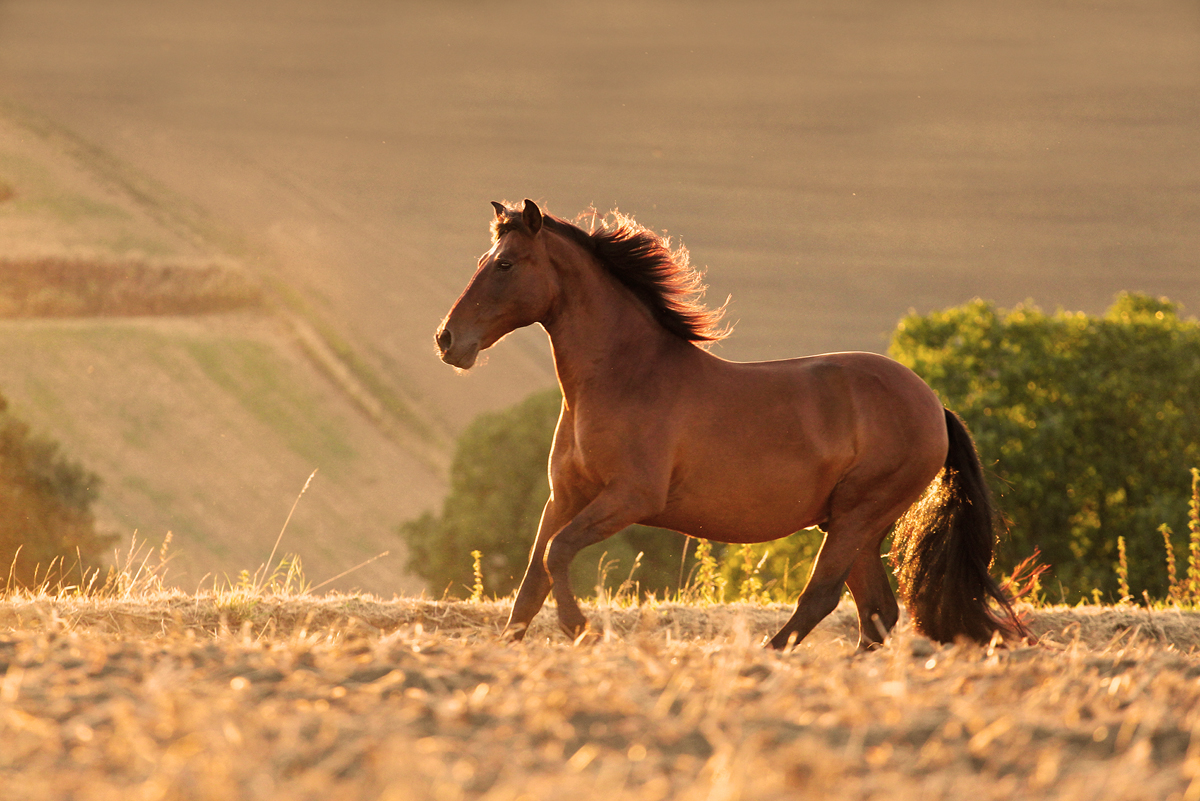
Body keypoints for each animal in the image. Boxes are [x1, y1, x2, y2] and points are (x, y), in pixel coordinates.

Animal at [436, 199, 1027, 652]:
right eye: (486, 258)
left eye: (506, 264)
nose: (446, 340)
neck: (623, 376)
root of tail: (934, 405)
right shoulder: (566, 496)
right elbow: (531, 583)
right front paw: (509, 650)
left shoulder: (630, 497)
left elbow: (556, 554)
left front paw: (582, 630)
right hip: (853, 524)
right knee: (875, 613)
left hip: (860, 515)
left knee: (824, 598)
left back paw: (764, 657)